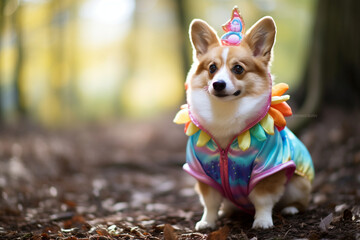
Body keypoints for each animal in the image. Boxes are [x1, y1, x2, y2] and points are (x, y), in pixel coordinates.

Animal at [175, 7, 316, 230]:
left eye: (238, 69)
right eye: (212, 68)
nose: (218, 84)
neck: (225, 113)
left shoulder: (267, 170)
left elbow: (263, 200)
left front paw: (262, 221)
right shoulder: (203, 174)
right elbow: (209, 202)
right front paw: (207, 221)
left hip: (298, 183)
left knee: (298, 202)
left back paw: (291, 209)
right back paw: (226, 212)